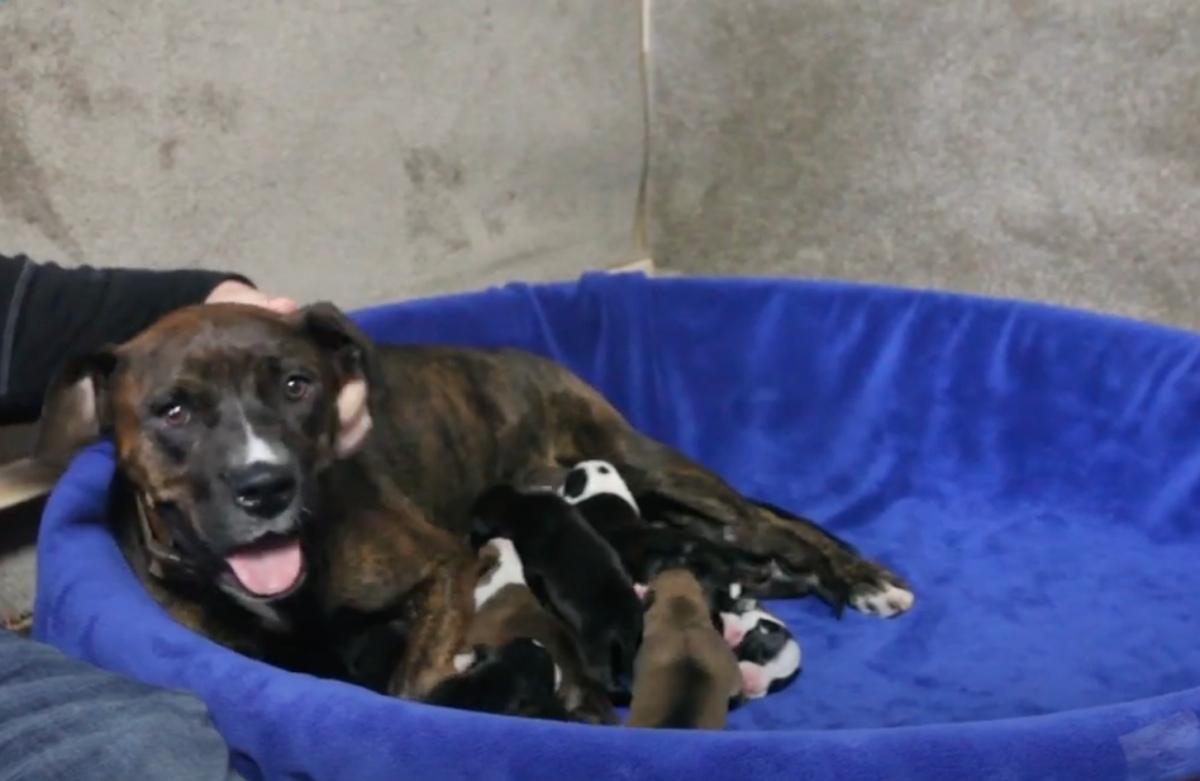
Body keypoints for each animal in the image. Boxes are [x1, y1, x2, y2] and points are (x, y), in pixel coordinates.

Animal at [465, 489, 643, 695]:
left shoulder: (531, 567)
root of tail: (625, 618)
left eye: (475, 531)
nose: (470, 542)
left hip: (596, 652)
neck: (518, 505)